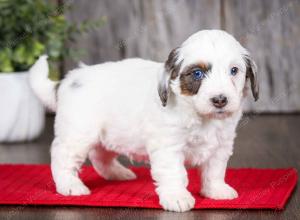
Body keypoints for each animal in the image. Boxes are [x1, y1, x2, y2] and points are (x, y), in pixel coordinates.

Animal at [29, 30, 258, 212]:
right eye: (197, 73)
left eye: (234, 71)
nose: (220, 100)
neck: (199, 115)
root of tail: (67, 80)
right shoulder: (168, 147)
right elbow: (174, 172)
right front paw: (177, 197)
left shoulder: (221, 144)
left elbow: (215, 170)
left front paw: (216, 190)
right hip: (78, 133)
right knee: (62, 156)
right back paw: (69, 185)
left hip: (110, 132)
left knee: (99, 155)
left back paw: (117, 173)